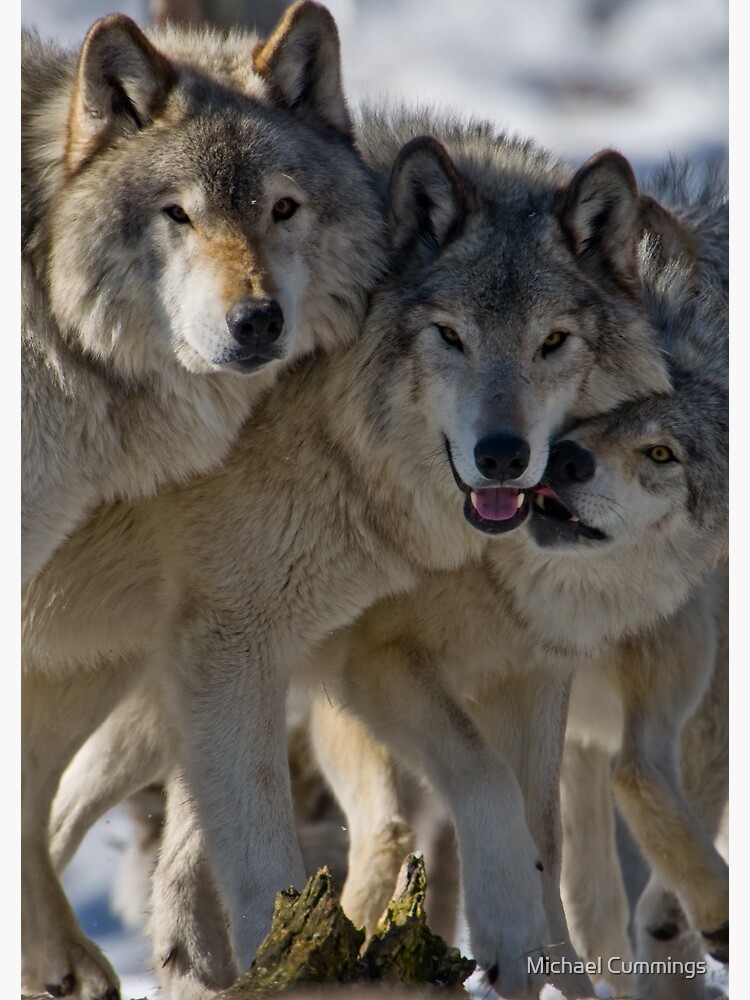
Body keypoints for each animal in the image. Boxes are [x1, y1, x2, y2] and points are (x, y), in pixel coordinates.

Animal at [25, 131, 668, 1000]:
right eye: (450, 336)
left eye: (553, 342)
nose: (502, 455)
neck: (340, 429)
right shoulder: (261, 649)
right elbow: (465, 784)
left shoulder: (524, 669)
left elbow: (541, 833)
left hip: (105, 671)